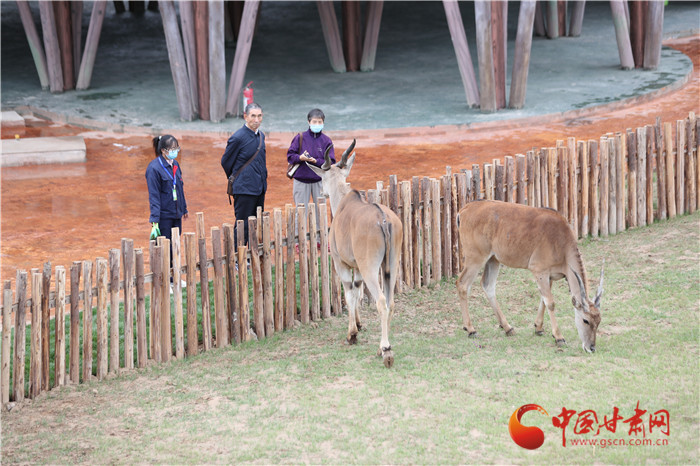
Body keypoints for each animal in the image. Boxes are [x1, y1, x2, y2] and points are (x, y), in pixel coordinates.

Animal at [308, 139, 404, 368]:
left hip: (371, 268)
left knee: (381, 301)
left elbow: (349, 293)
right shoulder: (358, 268)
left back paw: (385, 350)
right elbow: (358, 290)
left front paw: (352, 334)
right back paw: (381, 346)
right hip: (391, 265)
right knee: (390, 301)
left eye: (322, 177)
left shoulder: (340, 263)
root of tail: (383, 220)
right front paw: (358, 325)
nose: (321, 192)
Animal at [460, 200, 600, 354]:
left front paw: (538, 328)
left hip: (493, 259)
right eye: (585, 320)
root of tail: (465, 209)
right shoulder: (539, 271)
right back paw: (471, 329)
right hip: (475, 258)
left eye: (598, 321)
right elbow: (550, 302)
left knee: (488, 286)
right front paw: (559, 337)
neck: (561, 241)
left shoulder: (549, 276)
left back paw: (508, 328)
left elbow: (543, 300)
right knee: (463, 284)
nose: (591, 347)